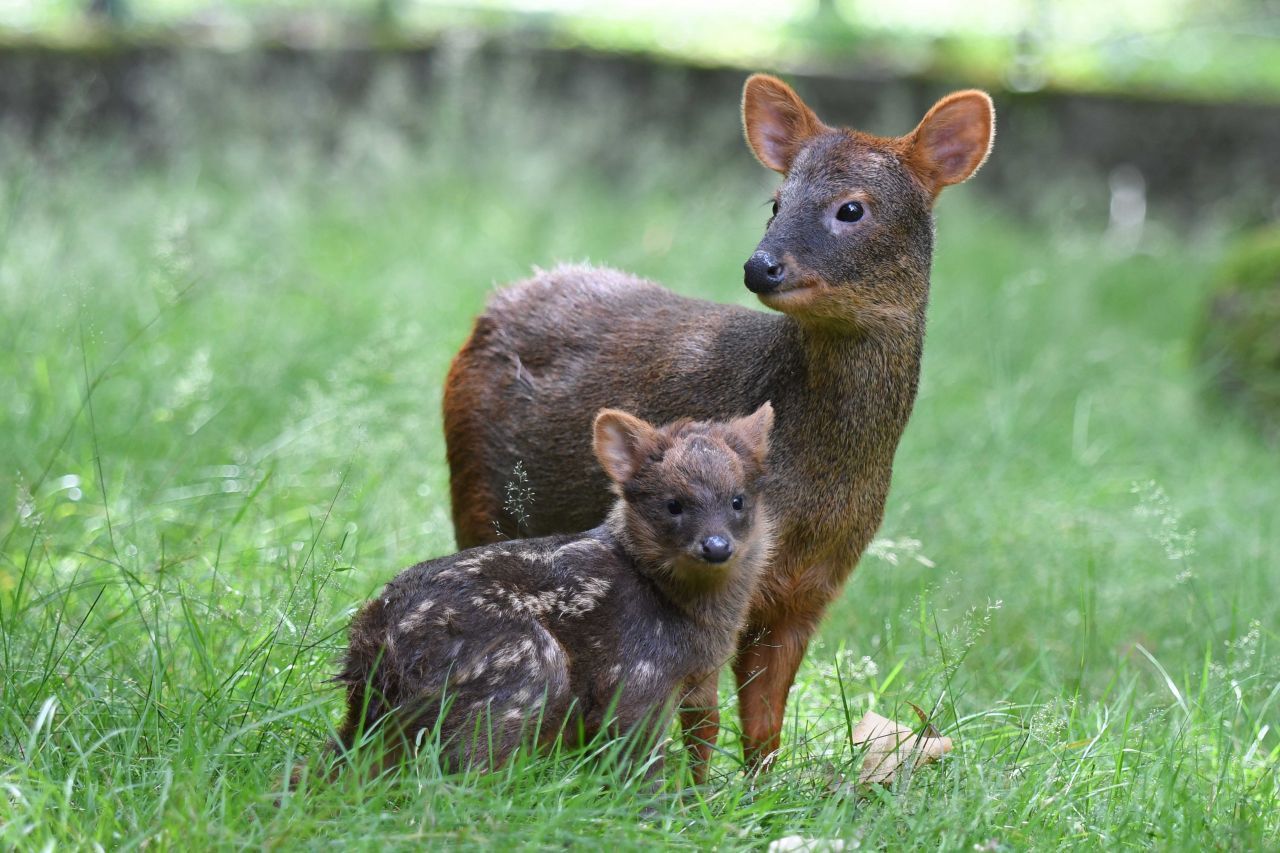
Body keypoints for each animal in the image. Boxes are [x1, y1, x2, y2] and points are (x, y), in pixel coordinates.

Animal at [445, 76, 993, 773]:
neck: (819, 488)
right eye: (776, 201)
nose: (761, 266)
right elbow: (700, 716)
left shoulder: (812, 588)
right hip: (477, 494)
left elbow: (764, 722)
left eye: (851, 209)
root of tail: (492, 307)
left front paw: (763, 789)